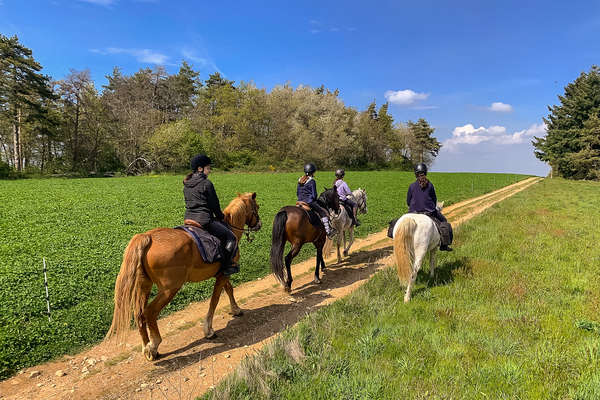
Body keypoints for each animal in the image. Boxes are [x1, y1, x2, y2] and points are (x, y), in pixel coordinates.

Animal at [103, 192, 262, 360]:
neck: (229, 226)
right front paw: (208, 330)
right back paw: (154, 344)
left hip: (144, 286)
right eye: (257, 207)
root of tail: (148, 237)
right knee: (150, 313)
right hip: (170, 289)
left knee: (139, 314)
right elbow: (215, 299)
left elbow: (229, 290)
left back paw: (148, 348)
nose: (259, 224)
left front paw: (236, 310)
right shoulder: (224, 274)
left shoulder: (222, 273)